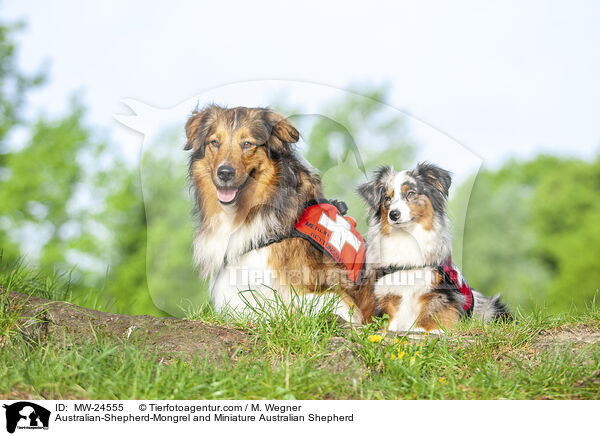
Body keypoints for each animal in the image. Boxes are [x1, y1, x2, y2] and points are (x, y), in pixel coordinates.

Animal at [358, 163, 508, 330]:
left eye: (411, 193)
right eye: (387, 198)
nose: (394, 214)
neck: (408, 237)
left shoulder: (441, 293)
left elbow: (432, 316)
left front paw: (423, 330)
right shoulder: (388, 293)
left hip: (492, 308)